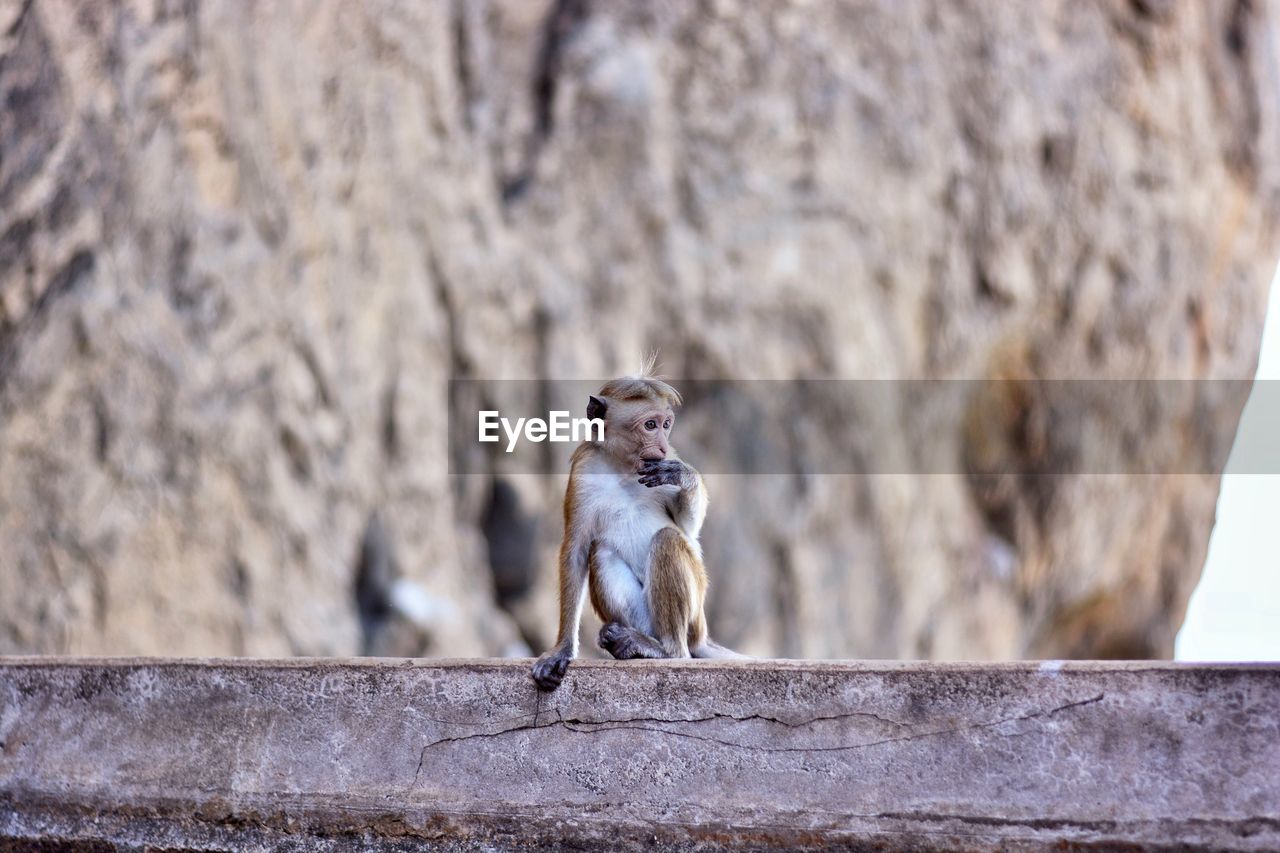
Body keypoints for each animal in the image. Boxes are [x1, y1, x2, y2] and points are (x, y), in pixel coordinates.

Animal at [529, 366, 742, 691]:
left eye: (666, 425)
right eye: (650, 425)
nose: (662, 444)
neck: (622, 468)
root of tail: (699, 637)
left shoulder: (667, 460)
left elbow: (689, 529)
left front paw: (683, 476)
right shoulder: (583, 471)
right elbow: (576, 549)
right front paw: (562, 649)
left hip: (695, 611)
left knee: (667, 540)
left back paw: (667, 651)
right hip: (646, 618)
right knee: (602, 551)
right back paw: (631, 643)